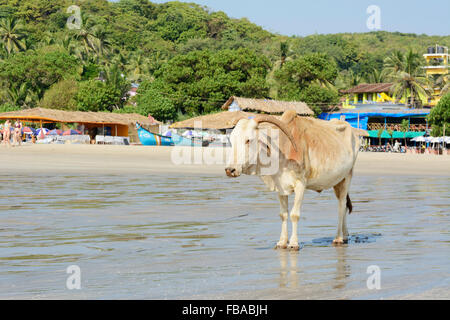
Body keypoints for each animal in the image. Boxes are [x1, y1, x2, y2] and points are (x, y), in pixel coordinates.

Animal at [225, 110, 362, 250]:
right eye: (231, 140)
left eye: (248, 140)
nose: (230, 169)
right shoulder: (279, 187)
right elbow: (283, 214)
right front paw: (282, 242)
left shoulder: (300, 184)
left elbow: (294, 214)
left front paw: (294, 243)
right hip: (337, 181)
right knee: (343, 205)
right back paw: (345, 235)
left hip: (347, 176)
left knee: (341, 206)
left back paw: (338, 238)